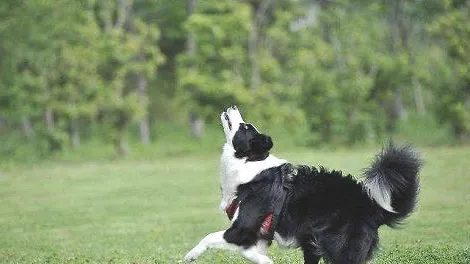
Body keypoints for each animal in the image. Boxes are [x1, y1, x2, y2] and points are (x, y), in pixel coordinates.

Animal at [184, 105, 422, 264]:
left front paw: (190, 256)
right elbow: (251, 253)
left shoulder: (243, 227)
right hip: (312, 243)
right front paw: (265, 261)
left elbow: (209, 237)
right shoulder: (258, 236)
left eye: (245, 126)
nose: (233, 106)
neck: (248, 164)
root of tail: (372, 207)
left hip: (337, 247)